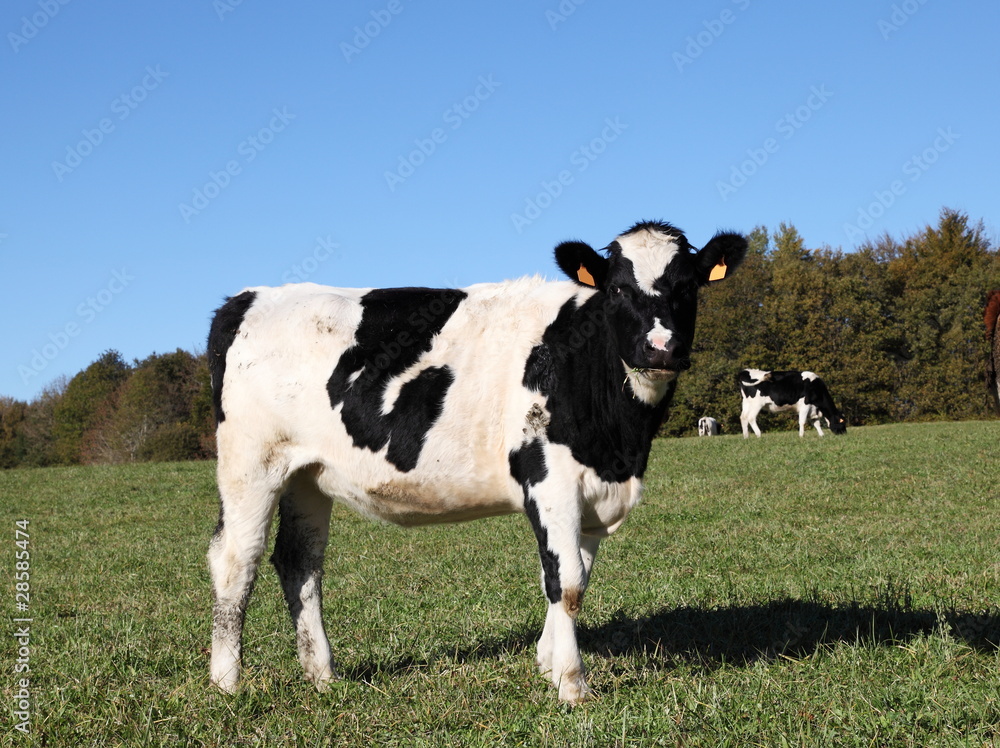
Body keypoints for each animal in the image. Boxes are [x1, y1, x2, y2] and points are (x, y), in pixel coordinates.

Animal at [206, 220, 747, 704]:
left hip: (307, 476)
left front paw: (548, 663)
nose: (661, 348)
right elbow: (567, 582)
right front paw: (572, 685)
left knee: (300, 563)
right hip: (250, 463)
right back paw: (226, 683)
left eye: (688, 287)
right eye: (617, 288)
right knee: (236, 558)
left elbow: (569, 578)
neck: (620, 443)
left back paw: (322, 675)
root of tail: (247, 299)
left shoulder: (594, 497)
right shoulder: (549, 479)